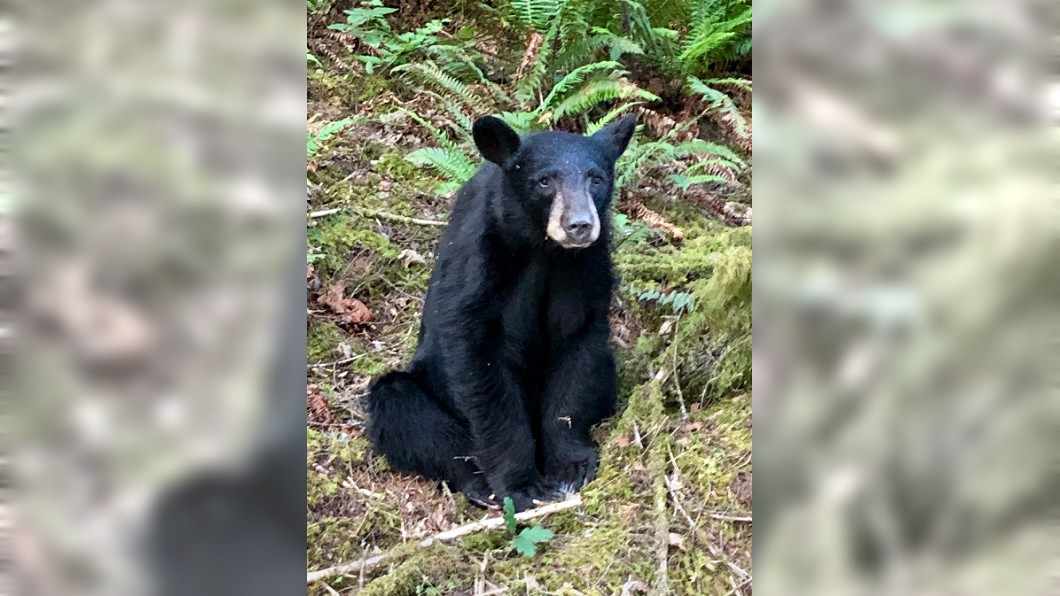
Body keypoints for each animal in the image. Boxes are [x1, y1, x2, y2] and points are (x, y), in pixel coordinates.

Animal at [362, 113, 637, 512]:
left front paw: (570, 465)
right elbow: (479, 364)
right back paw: (478, 482)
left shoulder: (587, 269)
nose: (580, 225)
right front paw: (521, 484)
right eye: (544, 180)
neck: (543, 250)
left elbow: (578, 348)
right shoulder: (480, 262)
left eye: (596, 178)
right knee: (401, 408)